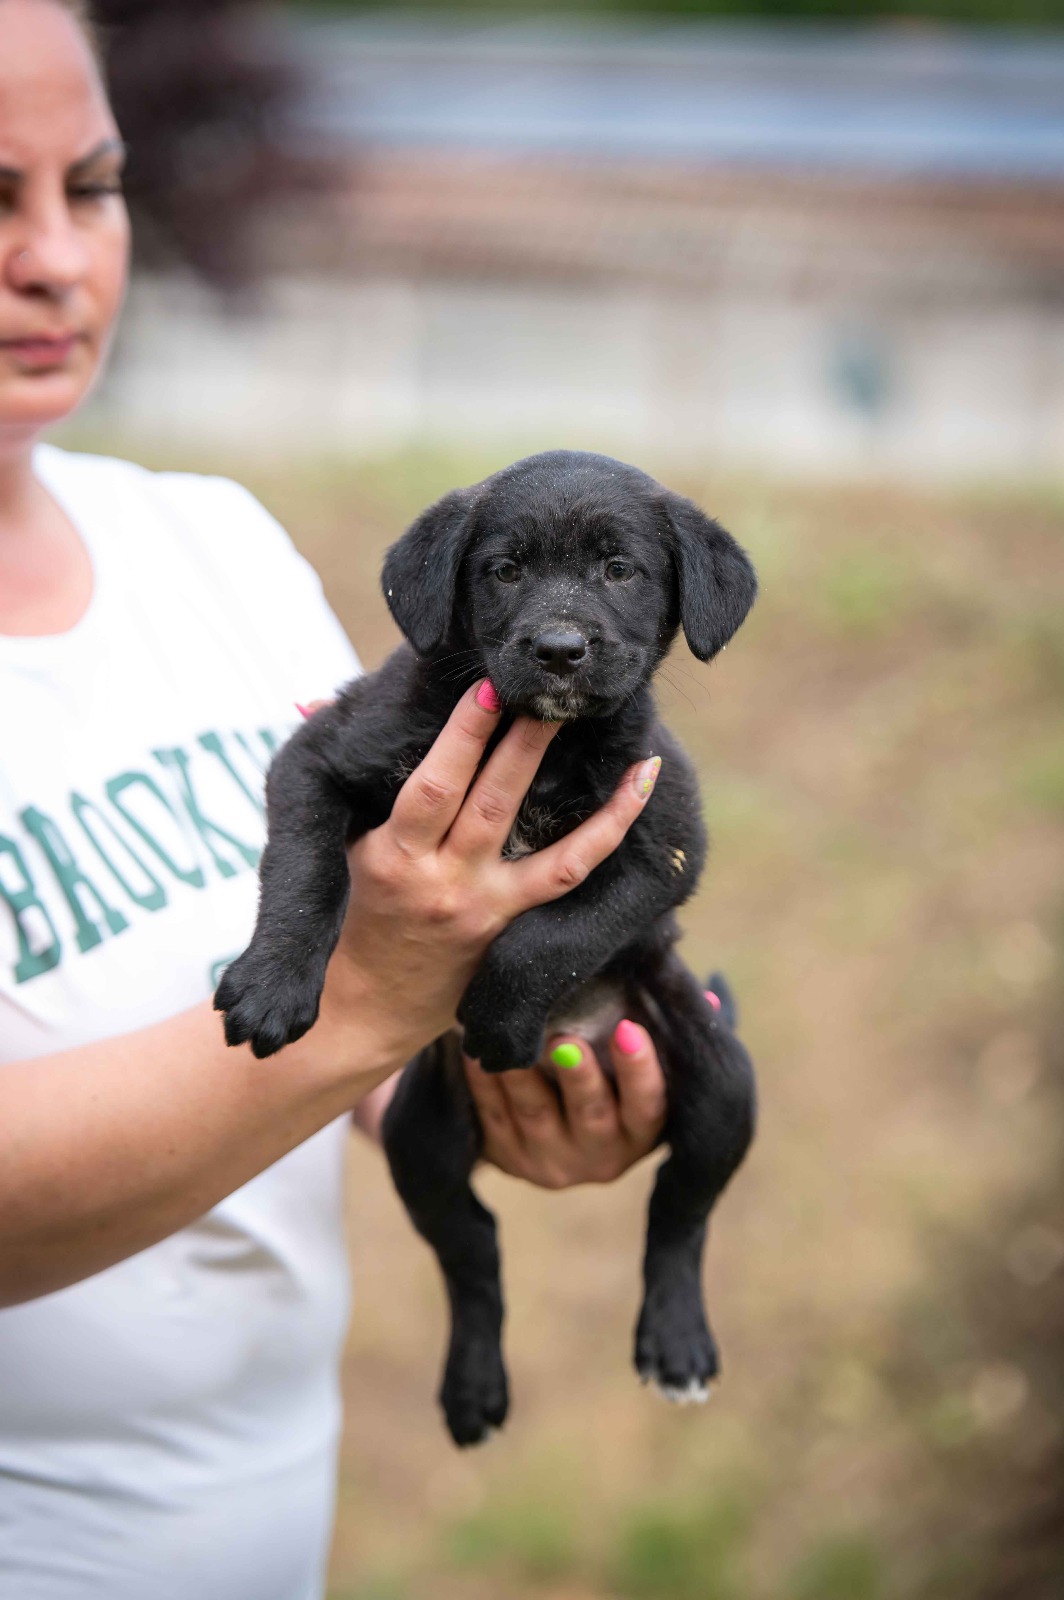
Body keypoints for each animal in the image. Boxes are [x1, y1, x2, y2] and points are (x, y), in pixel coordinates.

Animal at [215, 449, 758, 1446]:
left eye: (620, 569)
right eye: (503, 570)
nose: (559, 650)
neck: (538, 740)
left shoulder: (664, 842)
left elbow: (554, 933)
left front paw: (501, 1021)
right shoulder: (321, 757)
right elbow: (305, 868)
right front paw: (273, 983)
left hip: (717, 1073)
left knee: (680, 1211)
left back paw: (677, 1347)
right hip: (420, 1141)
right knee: (475, 1255)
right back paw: (473, 1389)